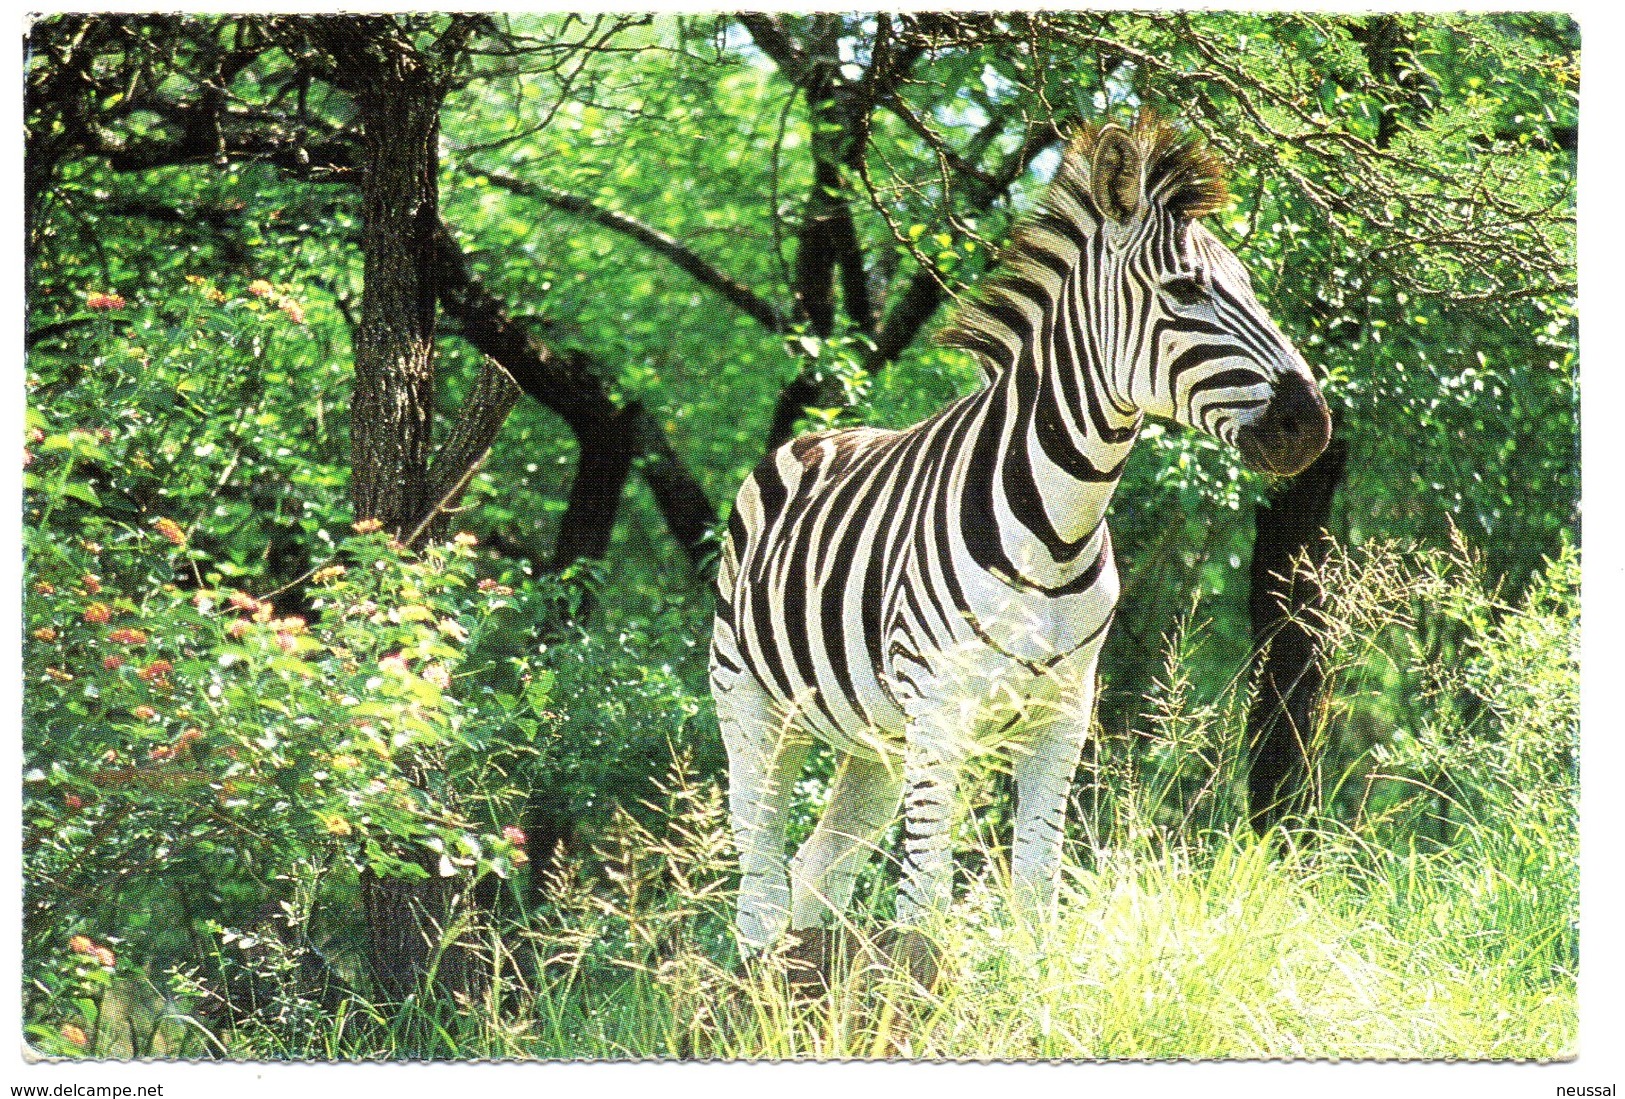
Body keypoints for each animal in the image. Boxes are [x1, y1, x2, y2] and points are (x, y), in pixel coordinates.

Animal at [709, 110, 1331, 968]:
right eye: (1185, 289)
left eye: (1247, 287)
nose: (1313, 424)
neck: (1056, 529)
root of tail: (814, 437)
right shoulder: (939, 706)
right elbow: (924, 906)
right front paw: (919, 990)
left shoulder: (1063, 716)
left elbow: (1037, 886)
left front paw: (1036, 985)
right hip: (753, 704)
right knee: (758, 871)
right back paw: (759, 981)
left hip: (875, 737)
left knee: (815, 864)